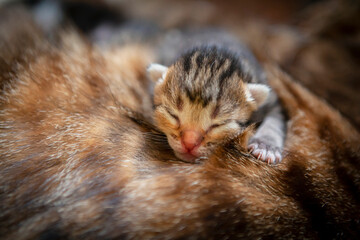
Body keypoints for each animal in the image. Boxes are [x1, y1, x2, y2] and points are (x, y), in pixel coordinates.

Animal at [148, 38, 286, 165]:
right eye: (172, 115)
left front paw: (266, 146)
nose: (189, 143)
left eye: (218, 124)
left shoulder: (270, 99)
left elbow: (274, 120)